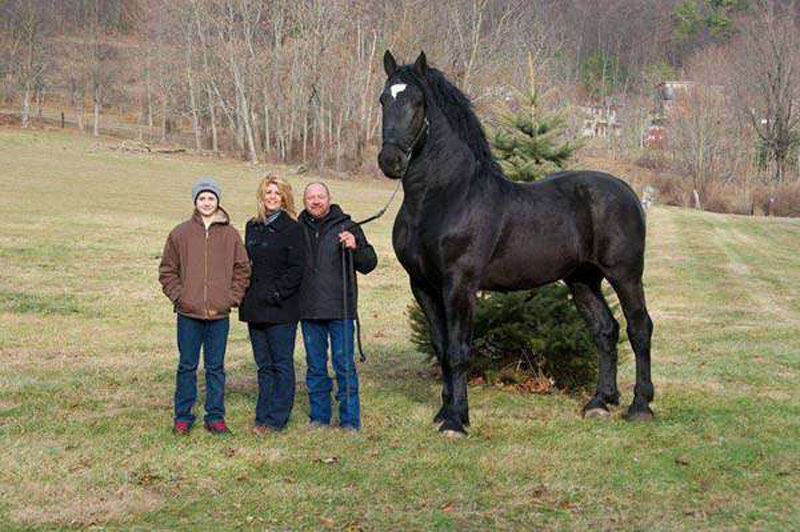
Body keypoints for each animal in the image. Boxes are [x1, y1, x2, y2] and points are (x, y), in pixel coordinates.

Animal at [378, 52, 652, 438]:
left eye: (417, 102)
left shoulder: (459, 285)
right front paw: (445, 411)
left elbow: (459, 350)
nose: (390, 161)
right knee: (605, 330)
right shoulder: (423, 286)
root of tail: (627, 191)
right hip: (583, 279)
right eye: (383, 100)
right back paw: (600, 402)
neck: (444, 197)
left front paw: (457, 421)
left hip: (625, 275)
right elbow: (442, 348)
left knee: (639, 328)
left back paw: (640, 405)